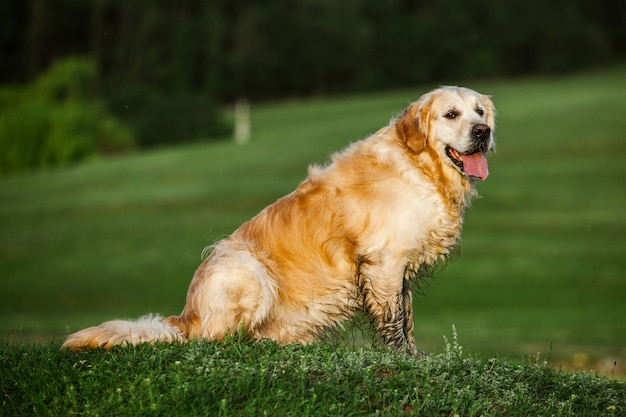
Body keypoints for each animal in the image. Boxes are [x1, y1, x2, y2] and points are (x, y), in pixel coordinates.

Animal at [62, 86, 492, 352]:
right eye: (451, 114)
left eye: (480, 111)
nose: (483, 131)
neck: (421, 167)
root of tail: (185, 317)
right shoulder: (384, 261)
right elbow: (394, 322)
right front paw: (402, 360)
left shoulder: (399, 268)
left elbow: (408, 318)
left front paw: (417, 357)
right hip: (246, 267)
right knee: (217, 341)